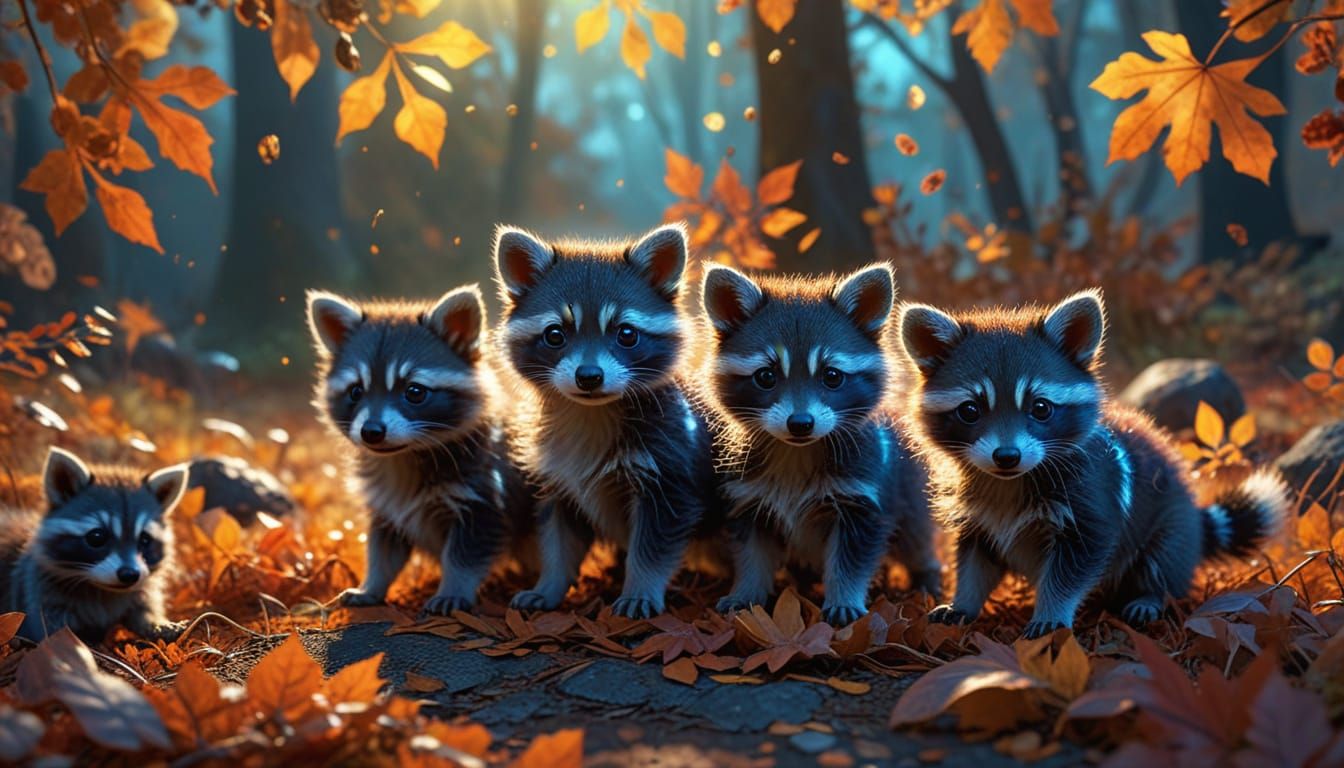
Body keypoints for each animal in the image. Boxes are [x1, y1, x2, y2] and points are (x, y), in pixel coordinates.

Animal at [0, 447, 189, 643]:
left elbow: (145, 608)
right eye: (97, 537)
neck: (101, 587)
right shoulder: (35, 589)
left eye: (145, 540)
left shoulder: (139, 591)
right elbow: (49, 631)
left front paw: (156, 623)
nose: (129, 575)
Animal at [307, 285, 533, 615]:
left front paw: (453, 588)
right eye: (356, 391)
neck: (404, 454)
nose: (371, 432)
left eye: (414, 392)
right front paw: (372, 585)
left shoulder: (484, 495)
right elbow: (383, 549)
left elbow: (466, 553)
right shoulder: (387, 504)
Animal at [493, 223, 717, 619]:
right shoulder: (557, 475)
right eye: (555, 334)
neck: (591, 411)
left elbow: (653, 544)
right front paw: (549, 585)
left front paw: (640, 587)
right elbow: (557, 539)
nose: (589, 377)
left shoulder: (671, 468)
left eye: (626, 333)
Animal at [701, 263, 941, 626]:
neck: (797, 450)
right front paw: (746, 592)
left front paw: (844, 597)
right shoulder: (747, 494)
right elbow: (751, 552)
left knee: (916, 540)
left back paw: (927, 576)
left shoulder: (864, 494)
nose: (800, 423)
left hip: (907, 492)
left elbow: (851, 559)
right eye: (766, 376)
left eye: (832, 376)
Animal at [899, 289, 1288, 639]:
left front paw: (1052, 611)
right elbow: (975, 562)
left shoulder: (1094, 500)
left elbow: (1073, 569)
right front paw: (963, 601)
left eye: (1040, 408)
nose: (1006, 456)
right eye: (970, 410)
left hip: (1171, 522)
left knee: (1163, 559)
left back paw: (1150, 595)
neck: (1011, 480)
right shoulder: (979, 516)